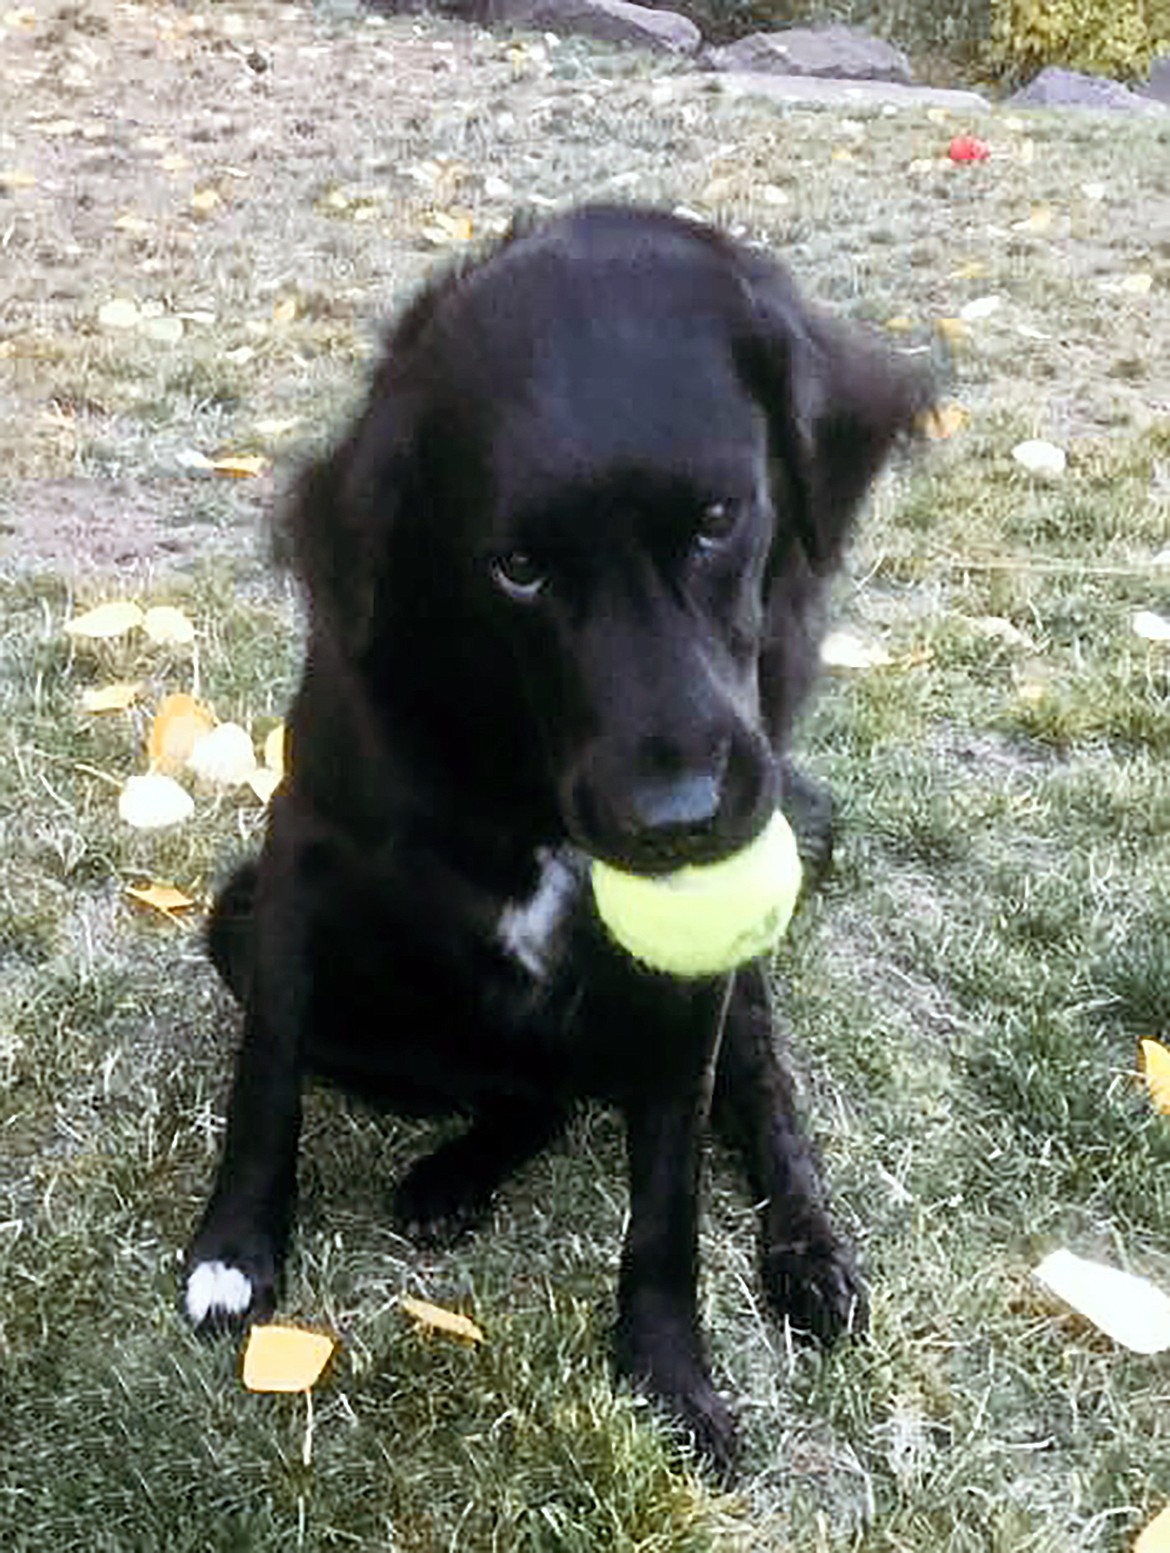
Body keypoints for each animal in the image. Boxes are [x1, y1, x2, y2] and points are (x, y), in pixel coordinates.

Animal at [184, 203, 932, 1466]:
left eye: (719, 519)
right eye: (517, 567)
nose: (677, 825)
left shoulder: (696, 986)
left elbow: (671, 1195)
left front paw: (670, 1372)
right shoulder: (297, 853)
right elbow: (267, 1073)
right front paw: (234, 1249)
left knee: (759, 1099)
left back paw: (809, 1251)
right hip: (243, 925)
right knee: (532, 1094)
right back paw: (453, 1174)